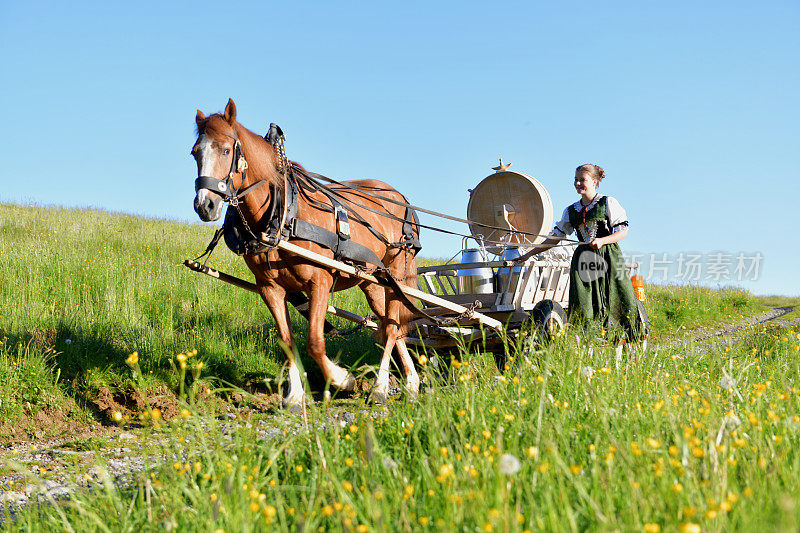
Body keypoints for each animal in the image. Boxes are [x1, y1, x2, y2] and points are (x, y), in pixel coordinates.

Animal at [191, 97, 422, 410]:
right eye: (194, 153)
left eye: (226, 150)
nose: (205, 205)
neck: (284, 215)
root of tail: (398, 196)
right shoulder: (270, 288)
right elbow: (287, 341)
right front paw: (295, 396)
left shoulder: (319, 282)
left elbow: (315, 341)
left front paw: (343, 380)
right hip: (374, 282)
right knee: (392, 324)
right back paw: (411, 384)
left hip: (396, 272)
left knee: (389, 329)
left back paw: (379, 387)